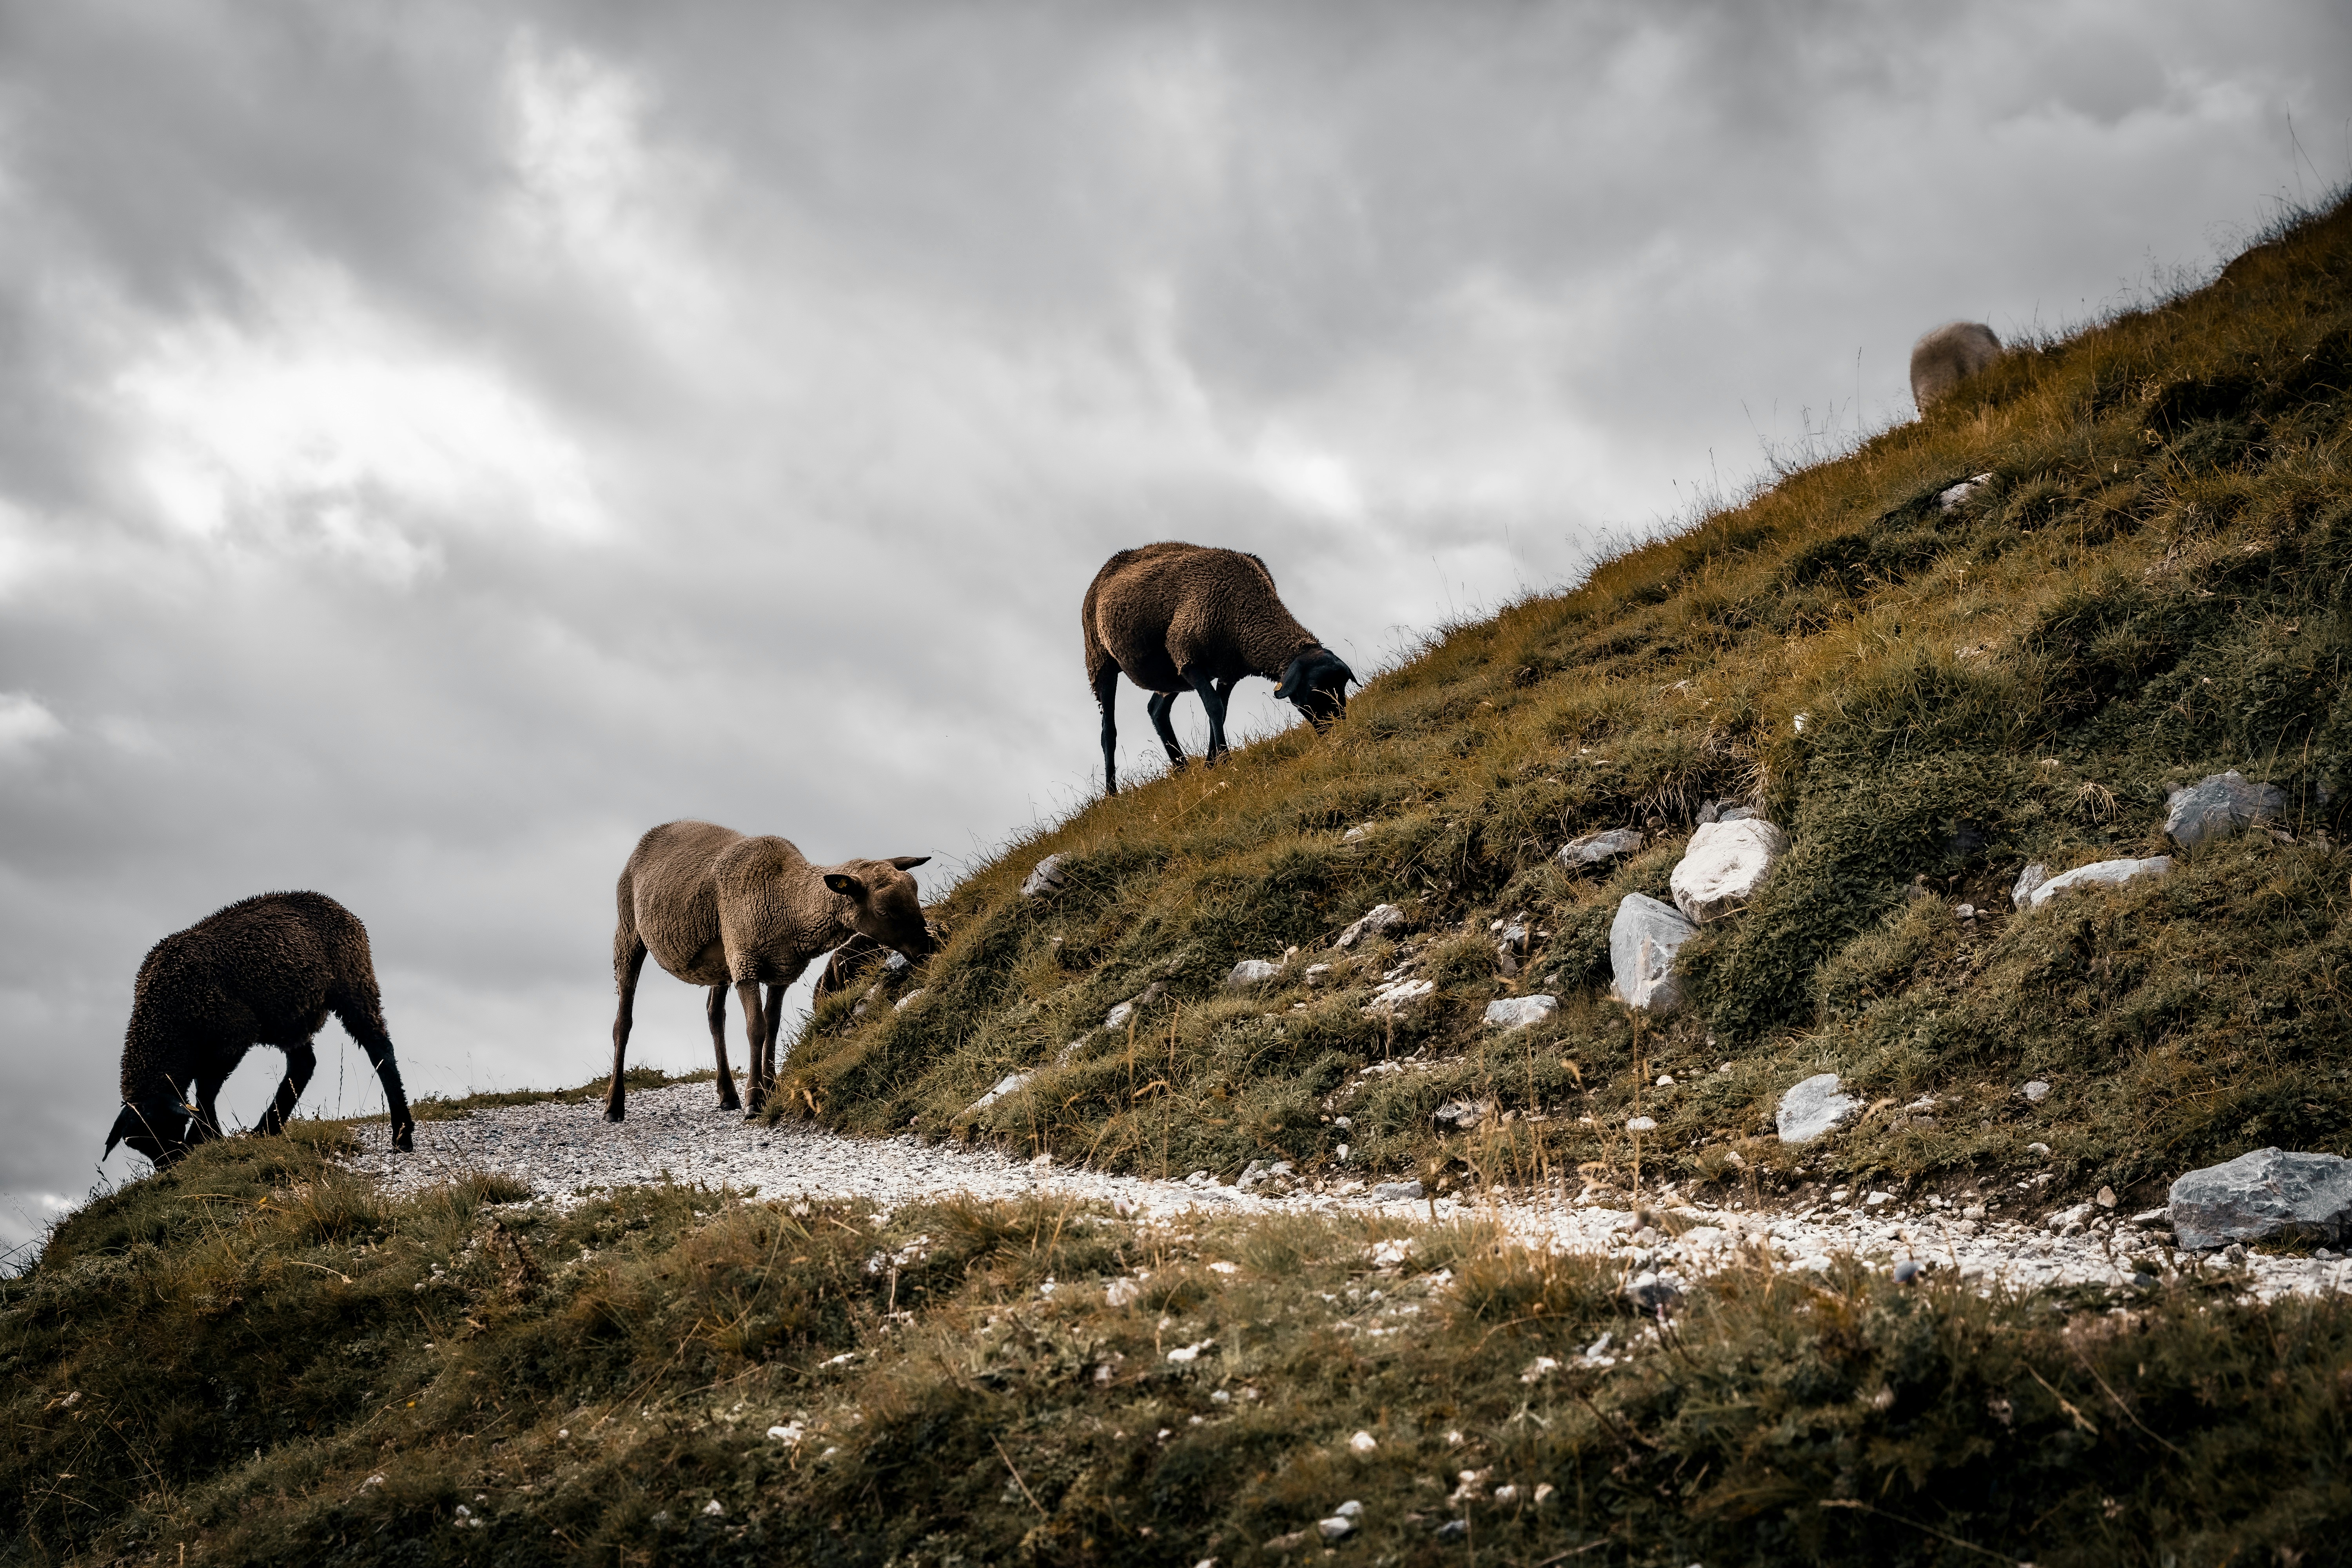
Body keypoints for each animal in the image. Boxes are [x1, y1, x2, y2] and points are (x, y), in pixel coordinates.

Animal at [103, 891, 413, 1167]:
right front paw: (208, 1137)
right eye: (136, 1143)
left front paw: (204, 1137)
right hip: (289, 1014)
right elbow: (205, 1093)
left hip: (352, 982)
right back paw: (267, 1129)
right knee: (303, 1065)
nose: (171, 1167)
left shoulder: (233, 1033)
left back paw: (403, 1135)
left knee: (380, 1049)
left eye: (166, 1126)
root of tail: (334, 904)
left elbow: (206, 1091)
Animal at [605, 820, 934, 1121]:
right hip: (629, 931)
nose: (928, 949)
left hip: (721, 958)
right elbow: (757, 1029)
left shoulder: (781, 970)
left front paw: (771, 1090)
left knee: (715, 1015)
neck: (786, 900)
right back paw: (614, 1106)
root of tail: (658, 829)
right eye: (883, 911)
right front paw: (755, 1100)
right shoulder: (746, 964)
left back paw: (728, 1095)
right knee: (623, 1020)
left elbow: (773, 1027)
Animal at [1082, 541, 1355, 794]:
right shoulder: (1188, 657)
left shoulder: (1228, 670)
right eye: (1315, 690)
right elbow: (1214, 706)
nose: (1337, 731)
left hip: (1168, 676)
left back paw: (1182, 770)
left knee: (1156, 710)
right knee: (1108, 732)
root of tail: (1108, 566)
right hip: (1100, 661)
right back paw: (1112, 795)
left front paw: (1212, 764)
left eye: (1342, 687)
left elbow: (1221, 710)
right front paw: (1225, 761)